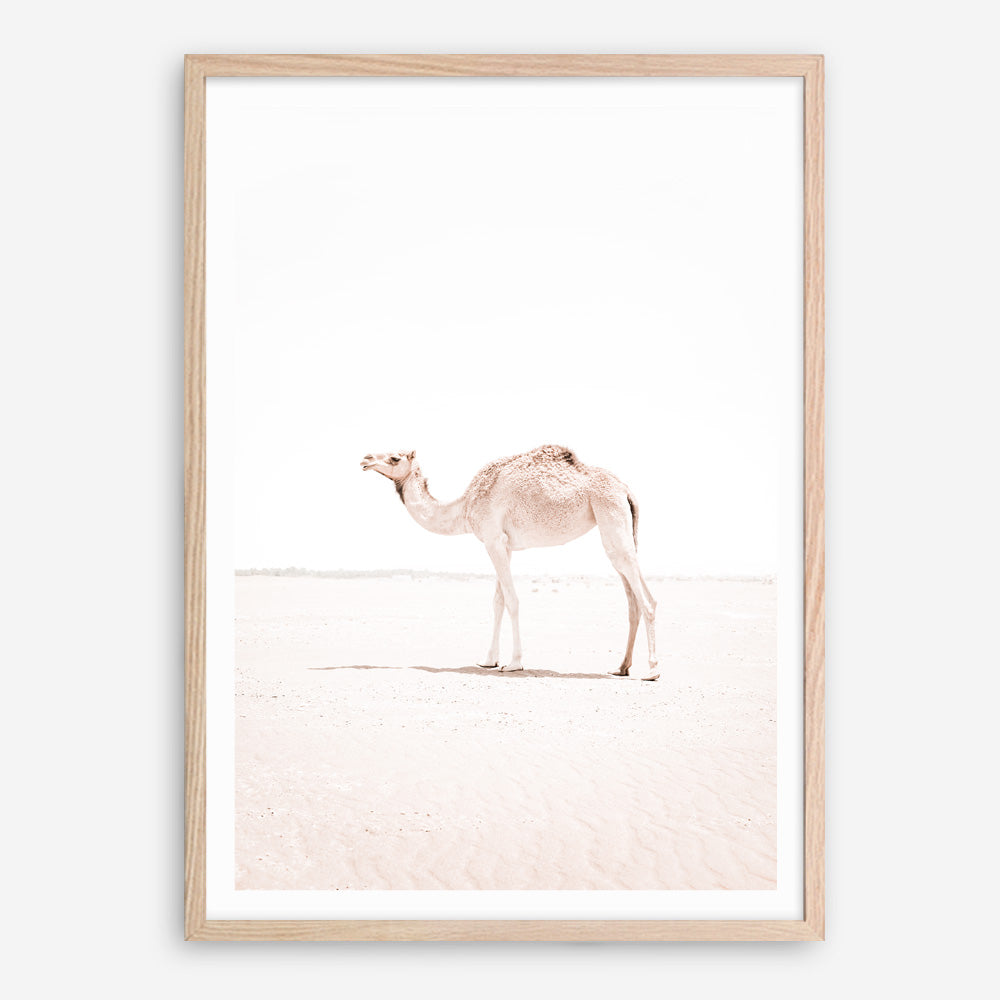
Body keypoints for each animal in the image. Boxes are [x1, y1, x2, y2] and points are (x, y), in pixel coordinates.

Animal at [360, 444, 659, 681]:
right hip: (619, 526)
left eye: (395, 458)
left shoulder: (492, 540)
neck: (465, 506)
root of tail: (625, 489)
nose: (365, 458)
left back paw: (652, 670)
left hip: (610, 514)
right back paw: (621, 667)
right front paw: (488, 660)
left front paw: (514, 663)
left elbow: (512, 600)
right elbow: (498, 601)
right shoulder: (504, 545)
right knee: (633, 598)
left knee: (646, 600)